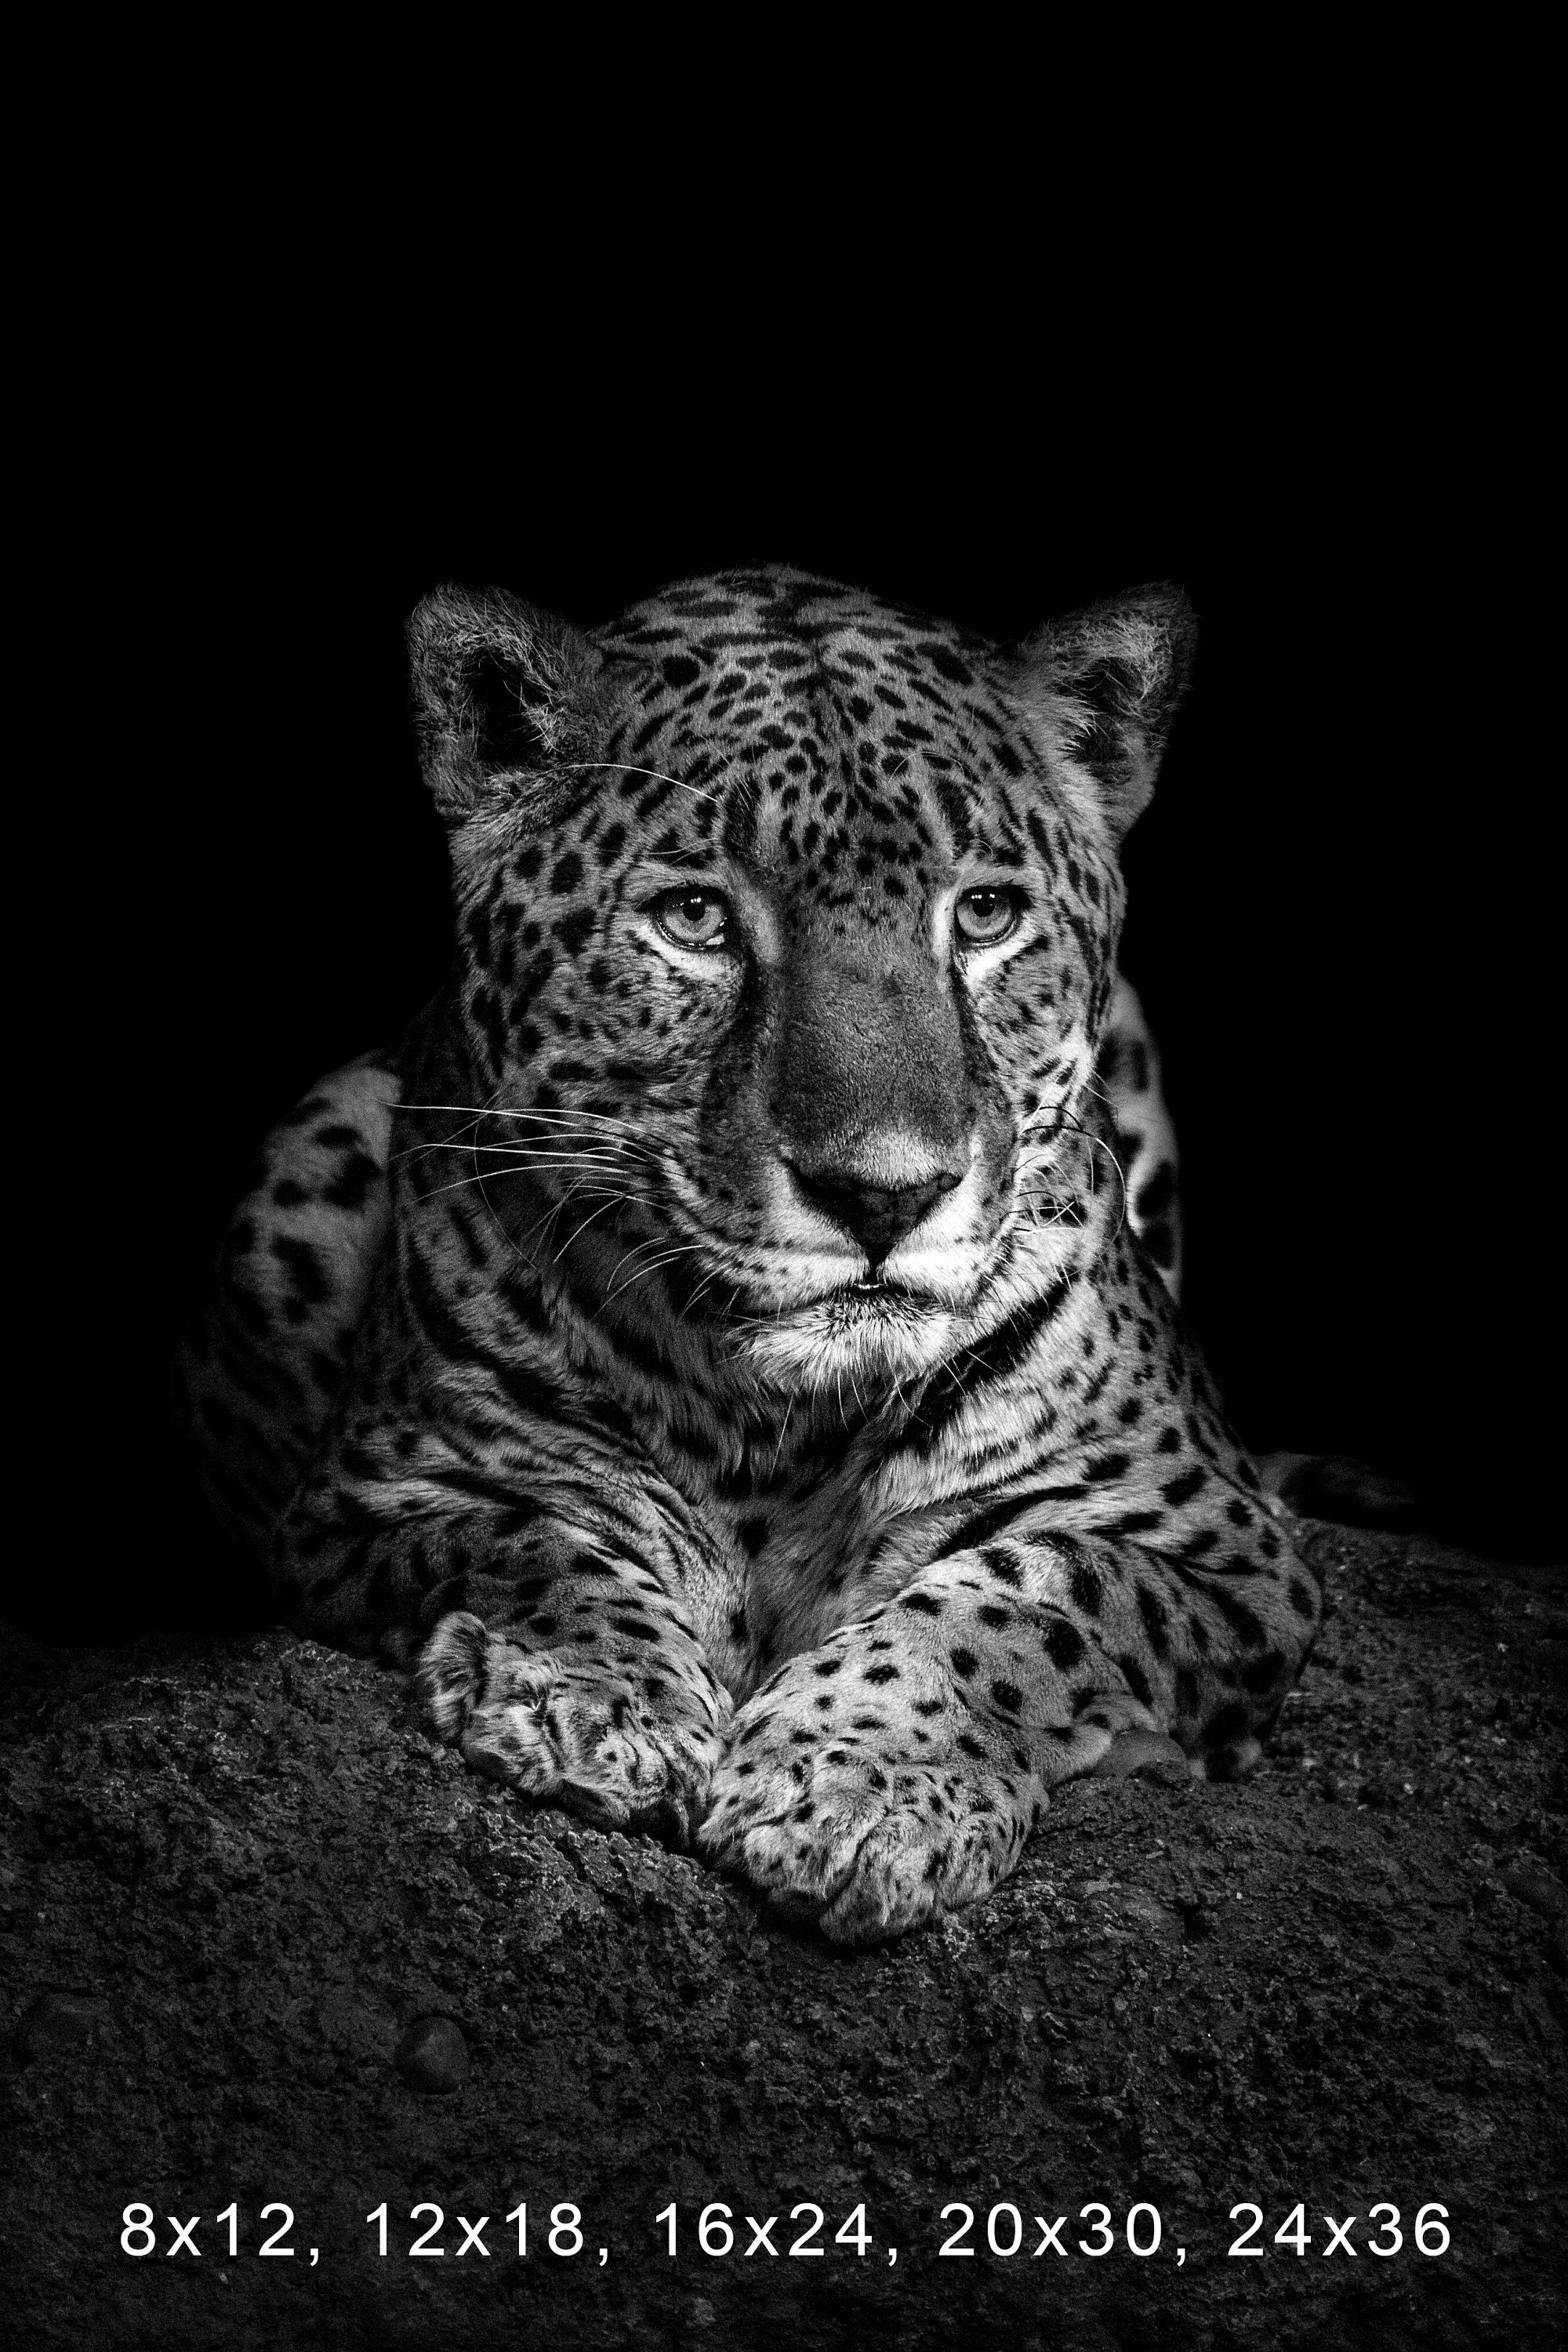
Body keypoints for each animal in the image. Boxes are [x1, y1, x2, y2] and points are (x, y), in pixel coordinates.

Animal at [174, 566, 1321, 1946]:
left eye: (987, 913)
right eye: (697, 920)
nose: (885, 1195)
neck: (780, 1427)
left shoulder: (1225, 1548)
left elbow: (1033, 1595)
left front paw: (859, 1786)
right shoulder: (374, 1495)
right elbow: (531, 1537)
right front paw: (589, 1698)